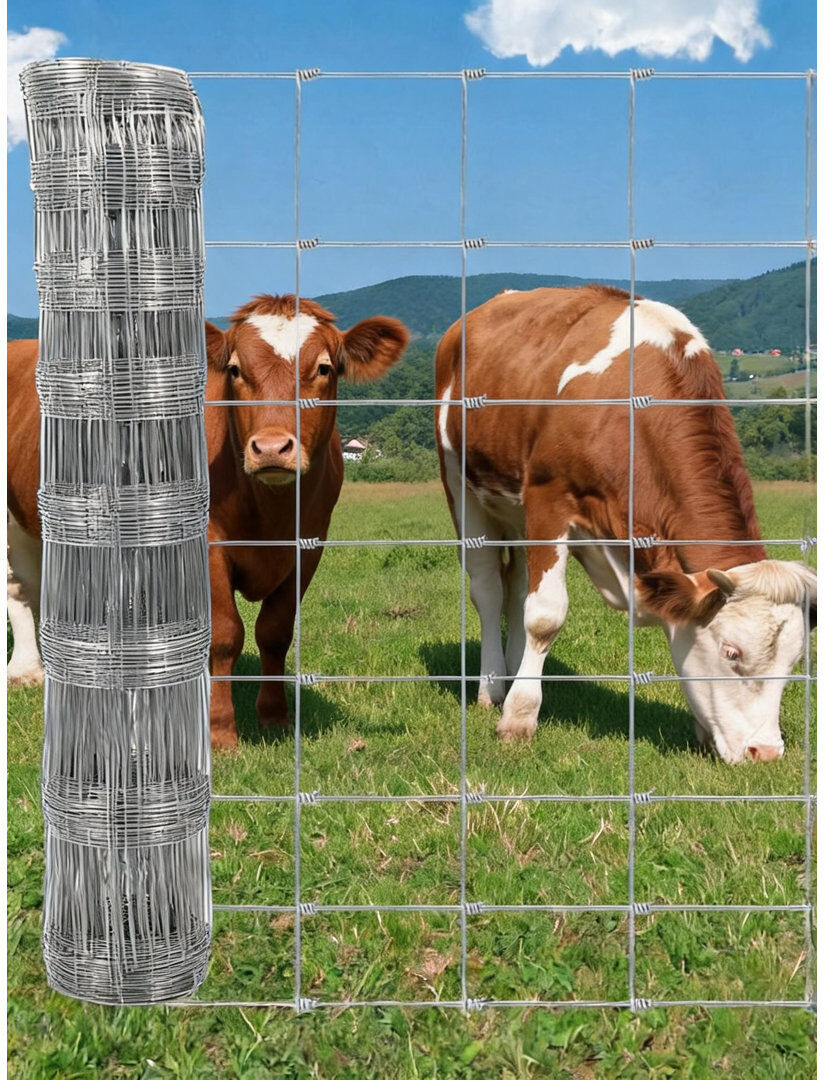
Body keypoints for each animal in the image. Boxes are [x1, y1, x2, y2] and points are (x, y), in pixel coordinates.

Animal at [8, 294, 409, 748]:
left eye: (324, 368)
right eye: (234, 369)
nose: (272, 448)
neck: (270, 513)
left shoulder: (310, 546)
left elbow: (275, 632)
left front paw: (275, 717)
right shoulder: (208, 544)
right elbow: (224, 634)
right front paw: (219, 731)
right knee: (20, 589)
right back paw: (27, 670)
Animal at [435, 285, 815, 764]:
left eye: (794, 662)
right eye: (732, 652)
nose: (764, 752)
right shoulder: (548, 497)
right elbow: (545, 616)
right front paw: (519, 718)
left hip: (516, 509)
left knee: (516, 588)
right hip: (460, 482)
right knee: (488, 590)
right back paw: (492, 689)